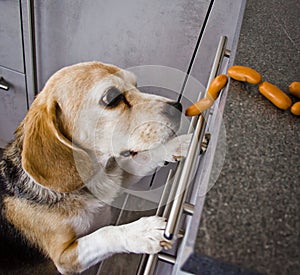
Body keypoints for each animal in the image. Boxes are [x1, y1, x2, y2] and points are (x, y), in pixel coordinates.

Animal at [0, 61, 191, 274]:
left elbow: (145, 158)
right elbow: (105, 233)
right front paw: (143, 232)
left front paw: (180, 144)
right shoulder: (65, 258)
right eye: (112, 98)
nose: (179, 107)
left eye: (135, 84)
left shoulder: (116, 177)